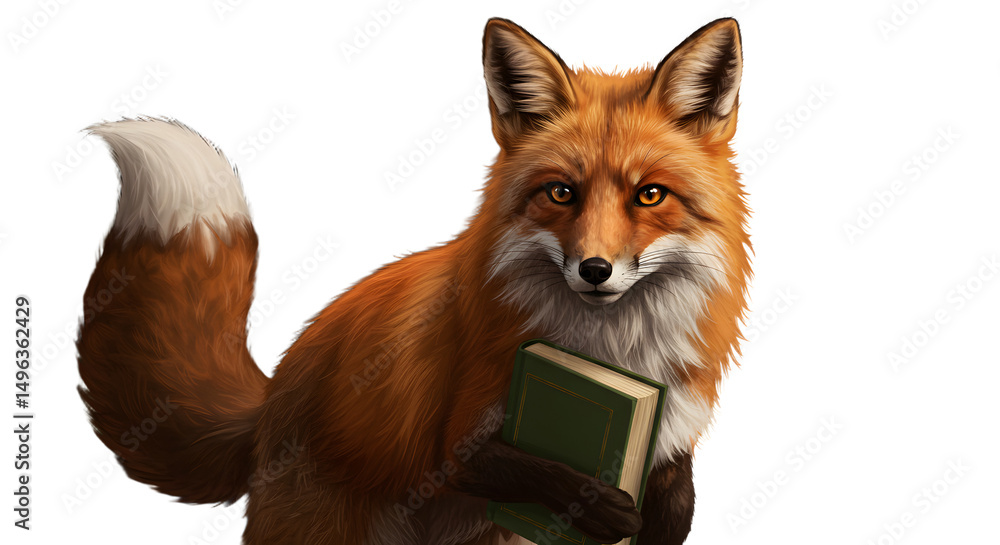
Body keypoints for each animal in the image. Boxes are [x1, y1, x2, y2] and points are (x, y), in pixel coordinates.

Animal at [77, 17, 749, 545]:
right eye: (561, 193)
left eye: (649, 195)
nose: (595, 270)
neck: (613, 351)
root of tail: (271, 403)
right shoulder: (453, 440)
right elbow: (519, 467)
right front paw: (595, 503)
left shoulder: (674, 431)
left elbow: (676, 501)